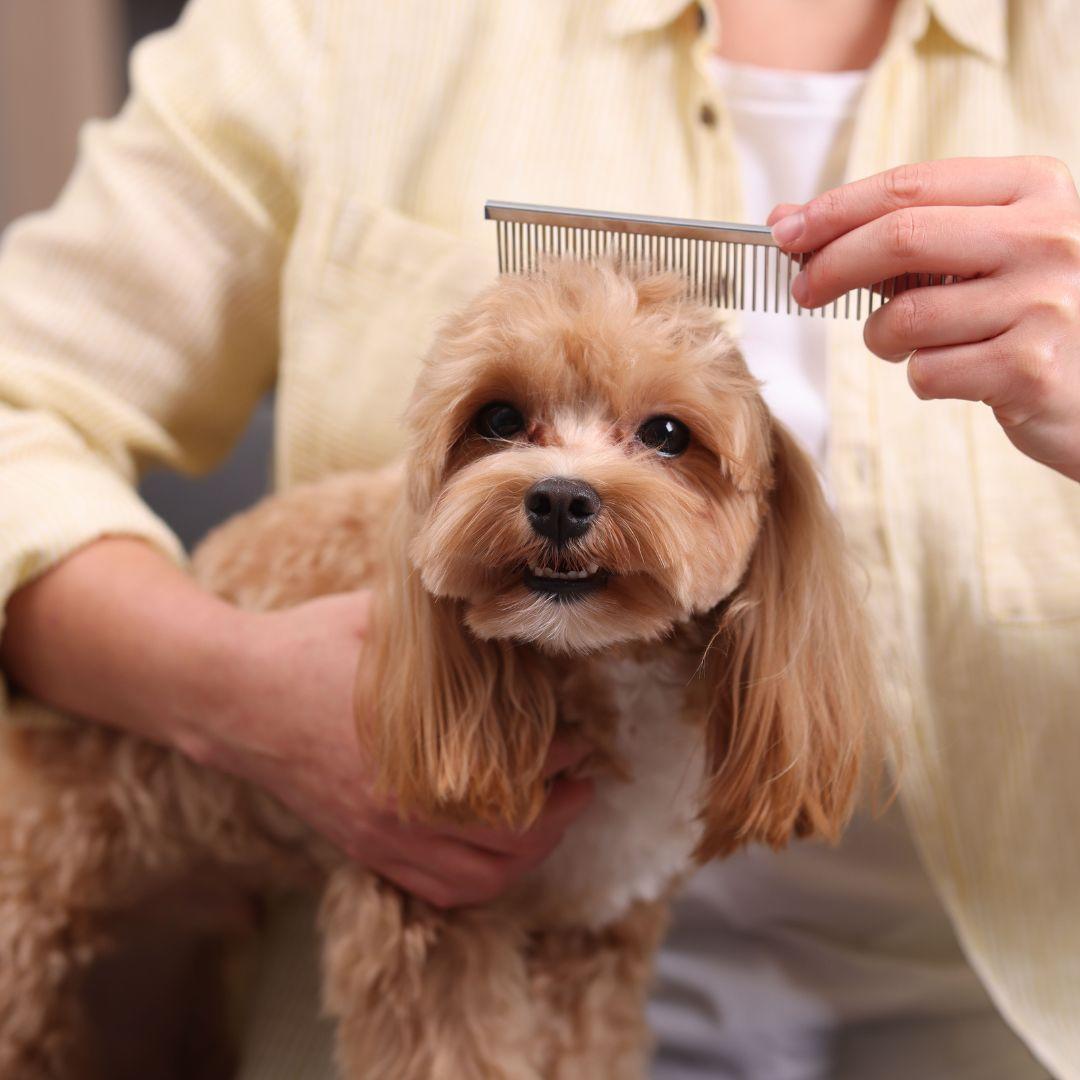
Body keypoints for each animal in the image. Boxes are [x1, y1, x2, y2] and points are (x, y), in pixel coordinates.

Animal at [0, 257, 876, 1075]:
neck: (595, 665)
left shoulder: (593, 933)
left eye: (666, 434)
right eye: (498, 418)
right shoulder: (427, 913)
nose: (560, 500)